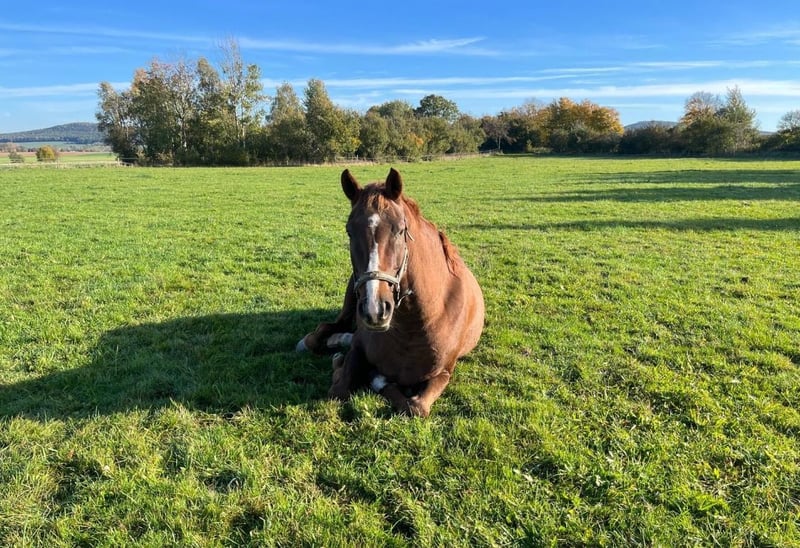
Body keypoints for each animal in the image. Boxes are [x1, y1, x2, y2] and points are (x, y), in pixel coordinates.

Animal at [297, 168, 484, 417]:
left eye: (401, 230)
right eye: (349, 231)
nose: (375, 310)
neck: (414, 327)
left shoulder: (443, 372)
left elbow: (414, 407)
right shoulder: (358, 348)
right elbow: (339, 388)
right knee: (324, 330)